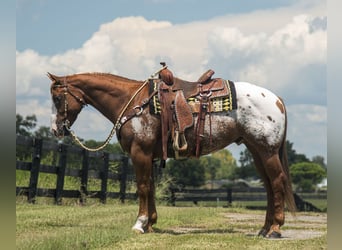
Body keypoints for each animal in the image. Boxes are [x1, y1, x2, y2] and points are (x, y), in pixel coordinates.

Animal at [48, 68, 296, 238]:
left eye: (57, 98)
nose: (55, 129)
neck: (133, 103)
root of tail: (277, 99)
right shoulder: (149, 155)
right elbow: (150, 186)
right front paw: (150, 224)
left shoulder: (140, 152)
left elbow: (142, 187)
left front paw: (139, 224)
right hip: (257, 152)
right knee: (268, 186)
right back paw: (264, 228)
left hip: (267, 151)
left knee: (276, 182)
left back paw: (275, 228)